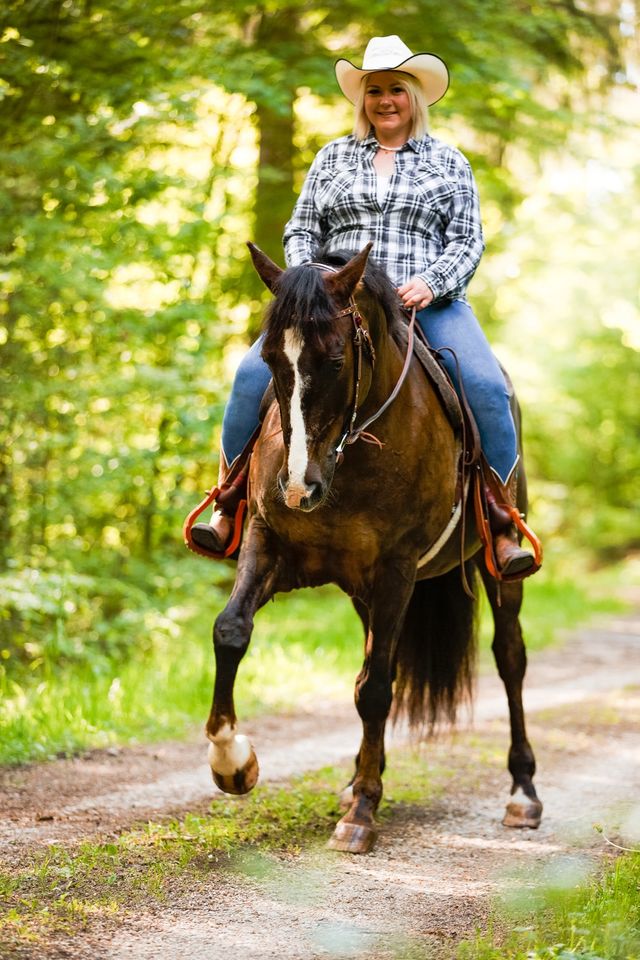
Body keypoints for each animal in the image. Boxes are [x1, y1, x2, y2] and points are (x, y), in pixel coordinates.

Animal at [202, 246, 544, 856]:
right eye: (270, 359)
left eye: (336, 361)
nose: (300, 488)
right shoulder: (269, 544)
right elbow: (231, 631)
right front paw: (233, 765)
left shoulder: (396, 570)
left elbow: (379, 690)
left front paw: (362, 812)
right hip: (361, 593)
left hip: (495, 573)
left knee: (509, 658)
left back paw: (522, 794)